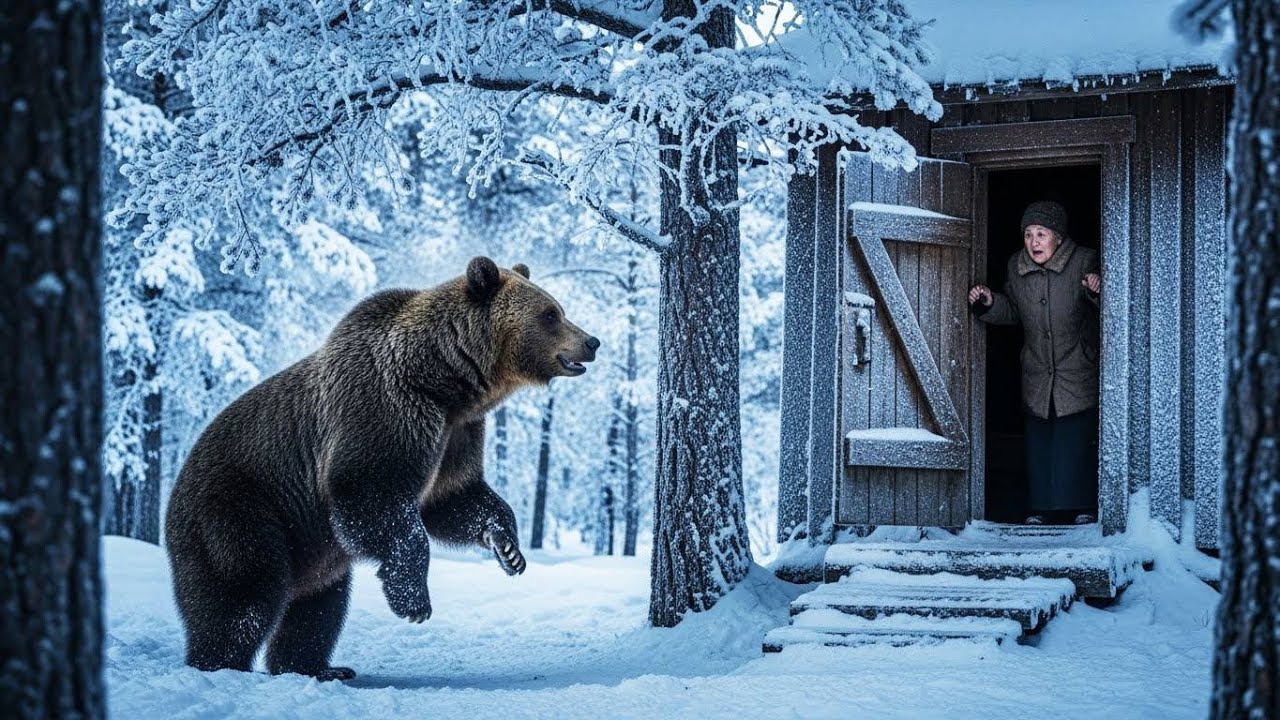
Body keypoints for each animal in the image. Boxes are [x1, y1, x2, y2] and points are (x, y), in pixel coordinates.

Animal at [163, 257, 598, 681]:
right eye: (550, 314)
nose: (591, 341)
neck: (444, 380)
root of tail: (176, 487)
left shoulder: (456, 434)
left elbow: (453, 497)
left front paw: (508, 548)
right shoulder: (384, 410)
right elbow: (373, 495)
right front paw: (415, 601)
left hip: (307, 549)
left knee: (320, 604)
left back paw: (318, 667)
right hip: (239, 509)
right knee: (244, 594)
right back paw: (220, 664)